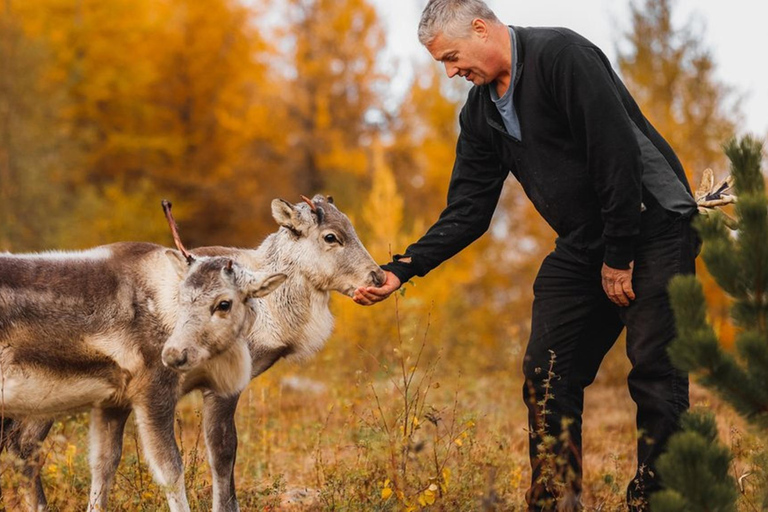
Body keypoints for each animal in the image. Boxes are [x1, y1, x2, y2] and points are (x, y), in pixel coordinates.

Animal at [2, 194, 385, 511]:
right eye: (331, 236)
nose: (378, 276)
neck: (268, 316)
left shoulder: (112, 401)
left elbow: (103, 464)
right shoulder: (184, 390)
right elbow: (212, 458)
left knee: (23, 451)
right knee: (22, 449)